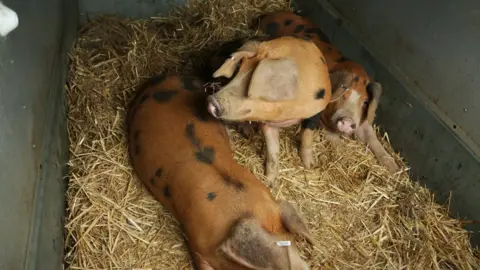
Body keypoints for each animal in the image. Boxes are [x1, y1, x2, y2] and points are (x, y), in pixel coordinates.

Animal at [206, 36, 344, 184]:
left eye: (251, 86)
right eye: (238, 72)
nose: (211, 101)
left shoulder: (317, 109)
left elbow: (307, 135)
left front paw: (310, 166)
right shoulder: (266, 121)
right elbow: (273, 150)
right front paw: (270, 182)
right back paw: (248, 133)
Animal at [256, 11, 400, 172]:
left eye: (365, 102)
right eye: (343, 94)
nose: (348, 120)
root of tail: (267, 15)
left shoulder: (361, 121)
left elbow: (372, 138)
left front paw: (394, 169)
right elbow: (332, 136)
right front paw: (342, 153)